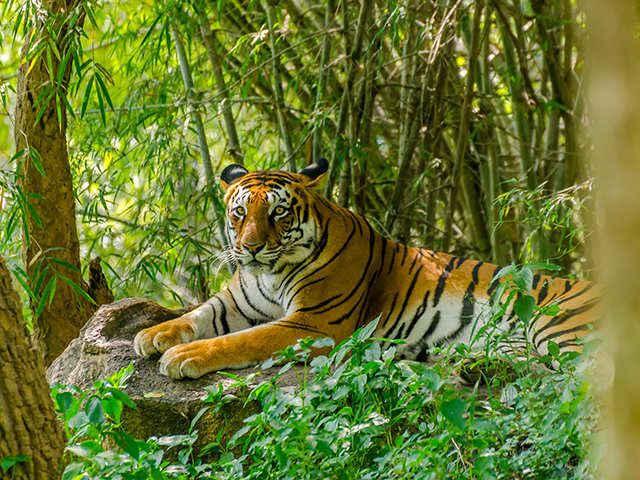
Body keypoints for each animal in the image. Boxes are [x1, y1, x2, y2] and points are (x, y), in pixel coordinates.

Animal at [134, 159, 600, 380]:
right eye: (239, 213)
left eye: (278, 213)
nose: (249, 248)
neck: (269, 271)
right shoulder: (234, 303)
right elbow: (195, 316)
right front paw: (152, 335)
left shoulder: (314, 324)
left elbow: (242, 340)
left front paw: (183, 356)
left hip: (554, 324)